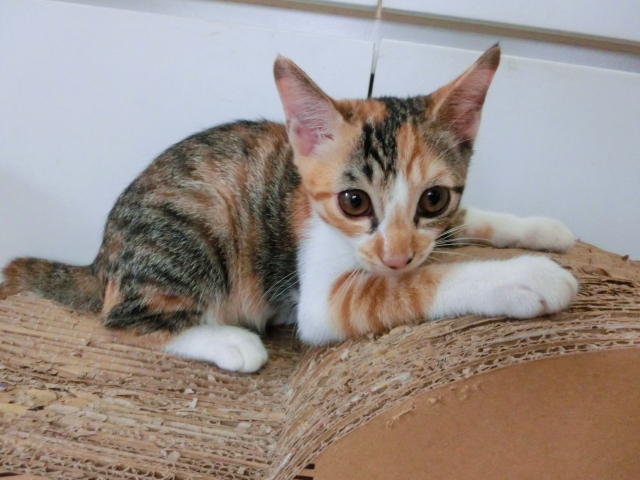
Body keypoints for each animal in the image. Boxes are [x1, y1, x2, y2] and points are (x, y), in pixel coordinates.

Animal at [0, 45, 578, 372]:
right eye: (353, 201)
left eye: (433, 198)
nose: (396, 256)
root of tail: (101, 259)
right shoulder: (323, 299)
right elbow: (414, 284)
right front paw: (524, 278)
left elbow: (464, 221)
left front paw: (542, 229)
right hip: (195, 228)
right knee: (123, 319)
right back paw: (230, 342)